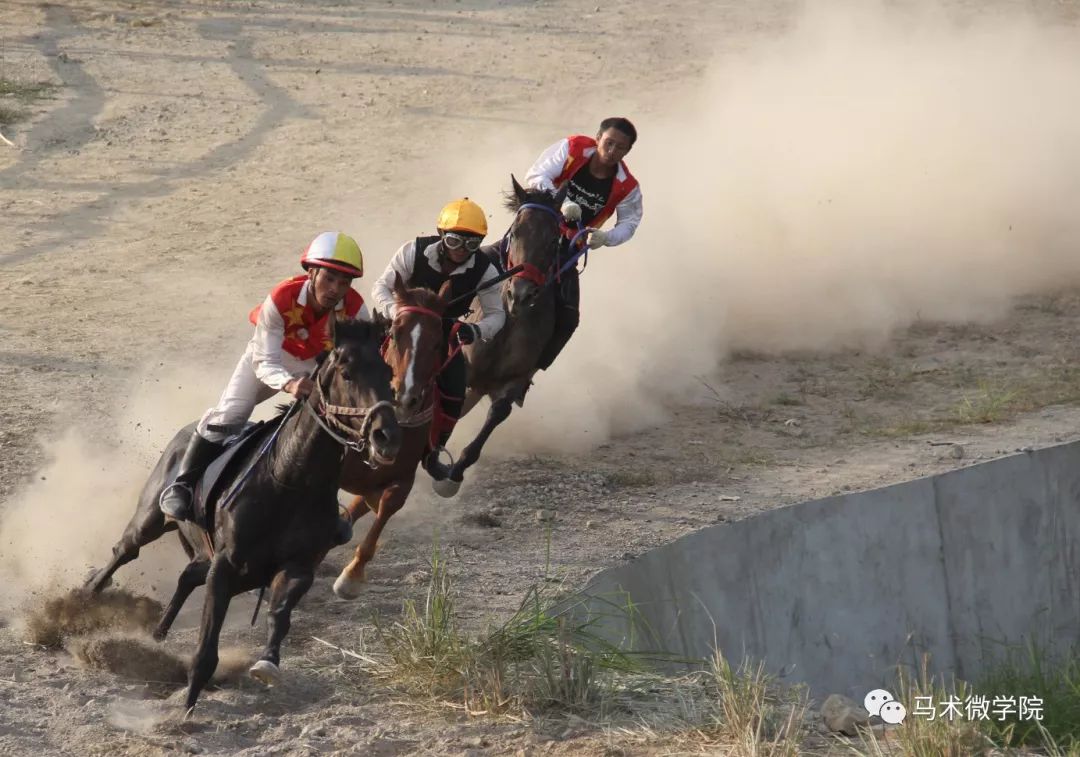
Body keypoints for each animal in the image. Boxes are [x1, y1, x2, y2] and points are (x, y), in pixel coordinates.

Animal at [82, 319, 399, 708]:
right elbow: (206, 645)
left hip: (203, 552)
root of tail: (183, 432)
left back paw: (158, 632)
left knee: (187, 576)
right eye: (347, 373)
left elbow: (279, 614)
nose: (387, 435)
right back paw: (86, 596)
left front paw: (267, 663)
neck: (290, 482)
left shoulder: (297, 566)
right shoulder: (225, 566)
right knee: (124, 551)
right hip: (150, 520)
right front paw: (185, 707)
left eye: (388, 373)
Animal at [328, 274, 447, 600]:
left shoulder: (402, 478)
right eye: (394, 334)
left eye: (438, 343)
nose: (404, 396)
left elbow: (385, 511)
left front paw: (351, 577)